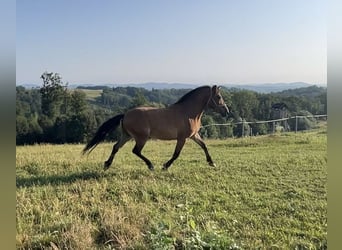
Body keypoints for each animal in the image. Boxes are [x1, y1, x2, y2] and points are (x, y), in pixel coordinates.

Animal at [81, 85, 228, 171]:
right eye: (218, 96)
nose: (226, 111)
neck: (188, 113)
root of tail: (126, 114)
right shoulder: (182, 138)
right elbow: (176, 154)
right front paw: (165, 166)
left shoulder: (193, 135)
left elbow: (204, 146)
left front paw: (212, 163)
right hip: (141, 138)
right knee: (135, 151)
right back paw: (150, 165)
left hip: (127, 136)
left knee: (116, 147)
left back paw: (107, 164)